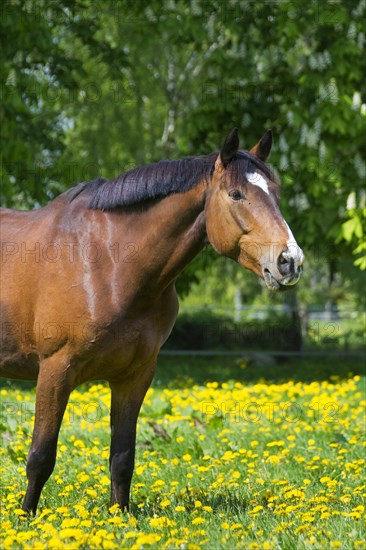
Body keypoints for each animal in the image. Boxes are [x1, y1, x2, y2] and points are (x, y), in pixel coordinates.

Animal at [0, 128, 304, 512]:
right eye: (236, 194)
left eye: (275, 194)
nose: (290, 261)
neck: (107, 261)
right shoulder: (55, 370)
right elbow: (40, 456)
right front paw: (27, 518)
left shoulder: (135, 375)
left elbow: (122, 457)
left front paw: (119, 517)